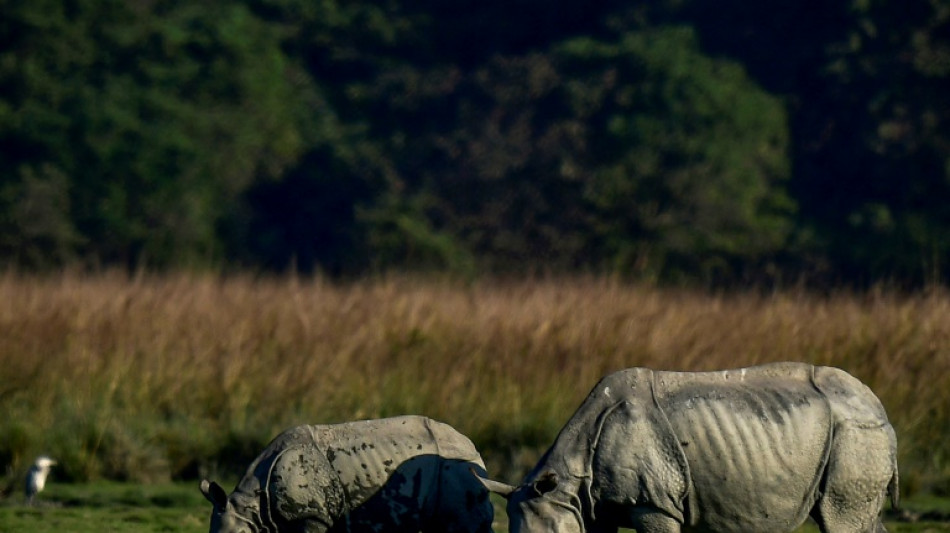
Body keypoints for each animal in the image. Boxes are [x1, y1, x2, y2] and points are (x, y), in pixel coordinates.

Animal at [477, 362, 899, 533]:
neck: (567, 482)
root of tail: (881, 409)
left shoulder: (653, 501)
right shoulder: (594, 506)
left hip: (857, 433)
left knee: (841, 518)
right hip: (856, 434)